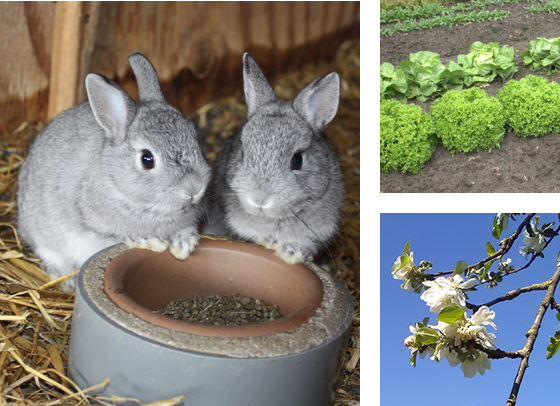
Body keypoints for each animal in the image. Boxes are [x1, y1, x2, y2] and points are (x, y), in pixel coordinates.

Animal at [17, 52, 211, 290]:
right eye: (147, 159)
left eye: (195, 139)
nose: (194, 188)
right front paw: (151, 241)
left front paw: (184, 244)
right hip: (46, 237)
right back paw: (67, 280)